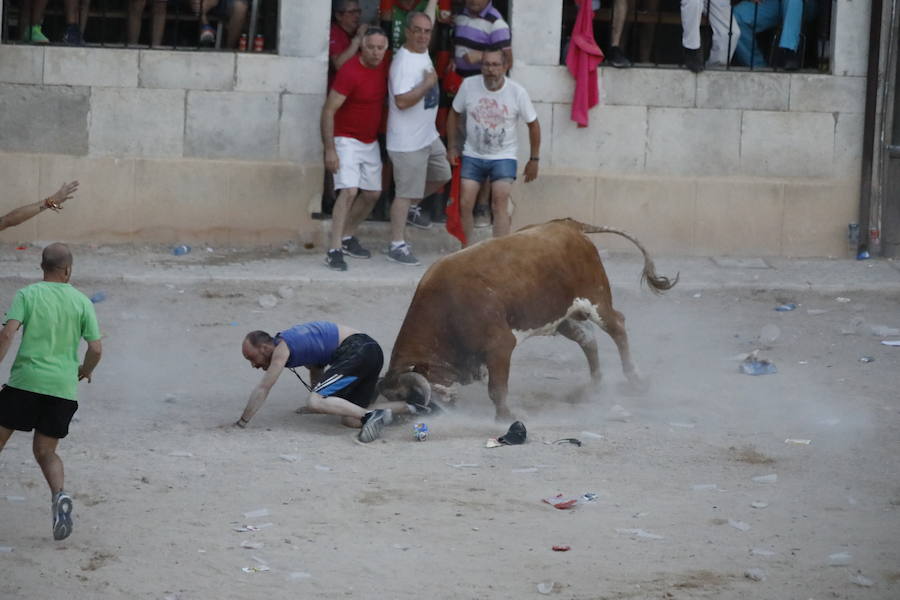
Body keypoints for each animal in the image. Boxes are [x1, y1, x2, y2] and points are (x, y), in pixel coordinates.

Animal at [376, 218, 680, 420]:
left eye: (408, 396)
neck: (446, 309)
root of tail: (569, 225)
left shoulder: (500, 345)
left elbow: (497, 388)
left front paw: (506, 416)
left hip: (597, 299)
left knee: (617, 327)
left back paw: (636, 380)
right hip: (563, 316)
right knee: (588, 340)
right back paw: (591, 389)